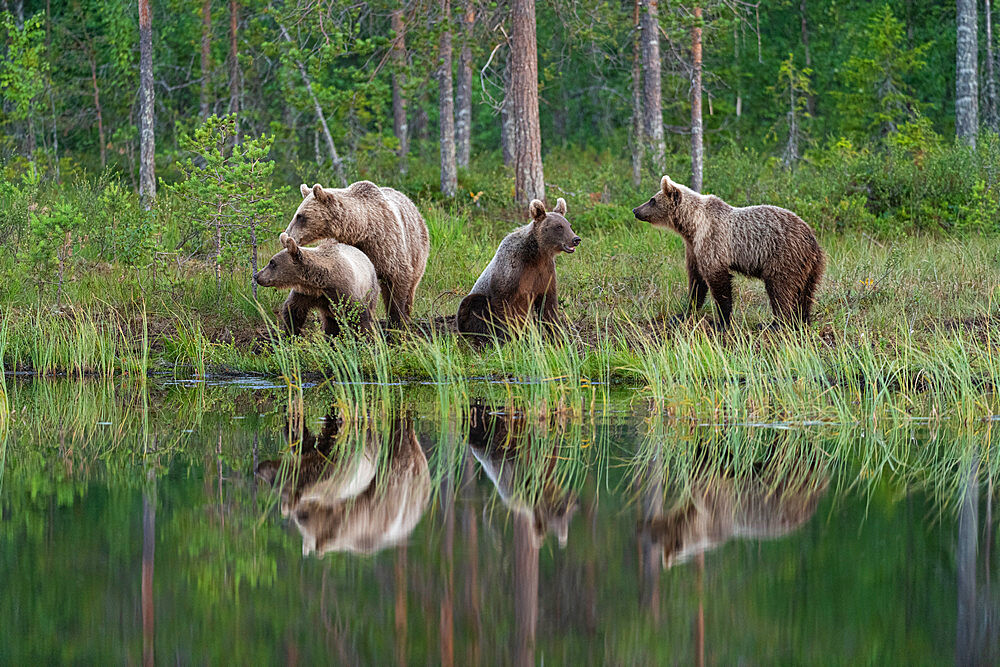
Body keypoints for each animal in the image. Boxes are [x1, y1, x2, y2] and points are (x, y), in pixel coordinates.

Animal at [280, 181, 428, 328]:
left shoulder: (386, 246)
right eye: (297, 214)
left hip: (417, 249)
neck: (362, 229)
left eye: (300, 216)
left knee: (411, 286)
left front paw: (396, 321)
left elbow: (396, 280)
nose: (286, 235)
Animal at [454, 196, 580, 336]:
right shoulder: (512, 273)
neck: (537, 254)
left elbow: (548, 305)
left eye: (569, 225)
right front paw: (510, 335)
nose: (576, 239)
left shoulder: (545, 272)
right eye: (559, 226)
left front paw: (558, 334)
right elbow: (503, 308)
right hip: (473, 303)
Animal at [632, 175, 828, 326]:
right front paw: (682, 313)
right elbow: (696, 281)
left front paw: (721, 321)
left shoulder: (713, 241)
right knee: (806, 292)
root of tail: (811, 238)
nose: (635, 210)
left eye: (652, 200)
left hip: (784, 256)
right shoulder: (693, 248)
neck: (692, 226)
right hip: (810, 266)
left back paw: (775, 323)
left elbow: (718, 280)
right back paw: (802, 320)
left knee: (781, 289)